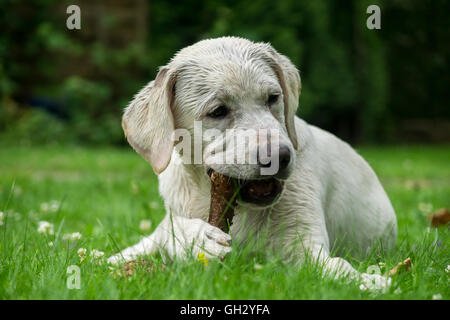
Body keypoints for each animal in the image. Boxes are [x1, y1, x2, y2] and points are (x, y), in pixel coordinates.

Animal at [110, 36, 398, 288]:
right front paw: (196, 238)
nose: (280, 157)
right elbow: (167, 229)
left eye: (273, 98)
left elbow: (335, 267)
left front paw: (368, 281)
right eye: (218, 111)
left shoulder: (304, 247)